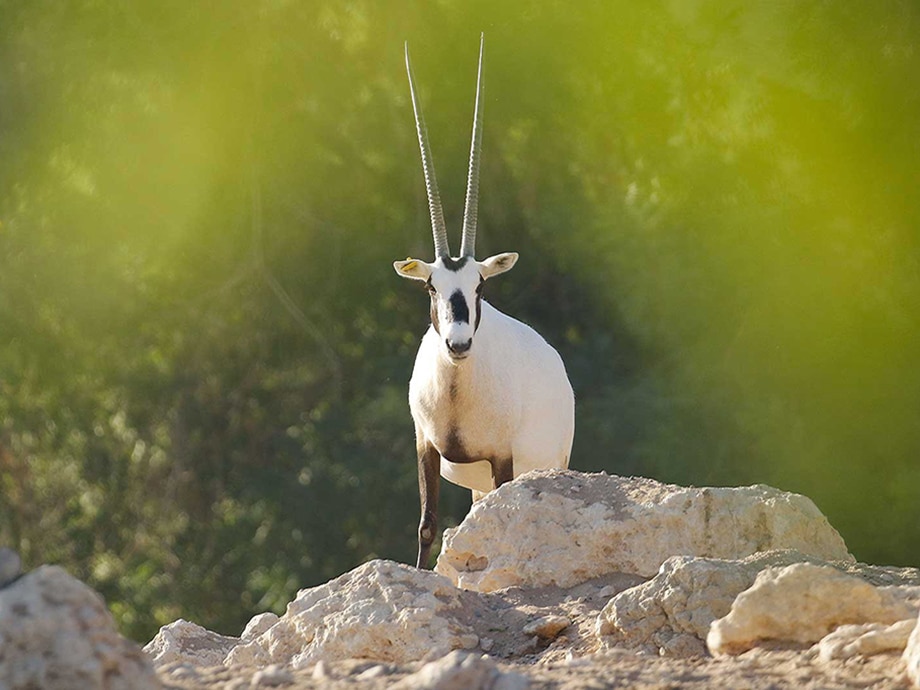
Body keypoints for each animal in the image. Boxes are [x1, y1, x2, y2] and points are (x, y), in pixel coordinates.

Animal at [395, 36, 575, 569]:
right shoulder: (426, 446)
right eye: (432, 287)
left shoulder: (502, 458)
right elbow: (428, 524)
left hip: (545, 465)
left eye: (480, 287)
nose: (458, 345)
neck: (457, 392)